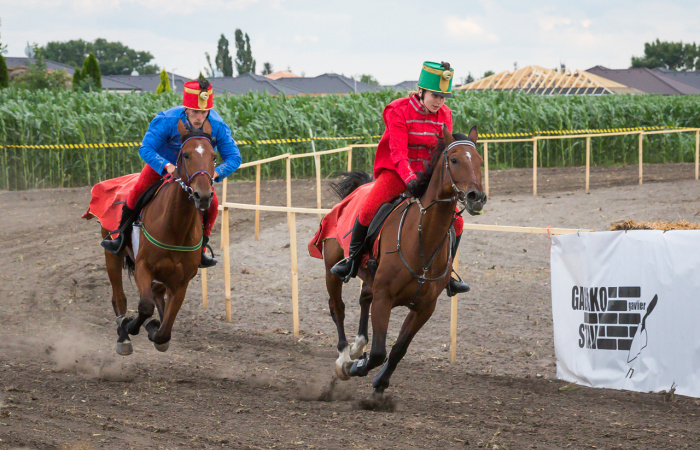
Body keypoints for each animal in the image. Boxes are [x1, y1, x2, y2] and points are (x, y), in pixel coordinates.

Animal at [102, 119, 215, 356]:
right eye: (186, 155)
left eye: (214, 156)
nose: (203, 196)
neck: (175, 228)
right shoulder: (143, 266)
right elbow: (145, 306)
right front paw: (134, 325)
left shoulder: (182, 280)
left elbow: (165, 329)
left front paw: (156, 329)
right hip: (112, 255)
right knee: (119, 296)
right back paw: (123, 335)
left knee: (156, 292)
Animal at [320, 125, 484, 394]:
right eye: (454, 159)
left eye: (480, 161)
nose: (476, 197)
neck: (422, 242)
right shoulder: (384, 297)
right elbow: (378, 352)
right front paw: (356, 367)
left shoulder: (424, 307)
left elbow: (398, 349)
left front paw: (380, 382)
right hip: (330, 269)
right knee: (338, 308)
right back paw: (345, 356)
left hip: (370, 277)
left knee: (363, 299)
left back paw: (358, 346)